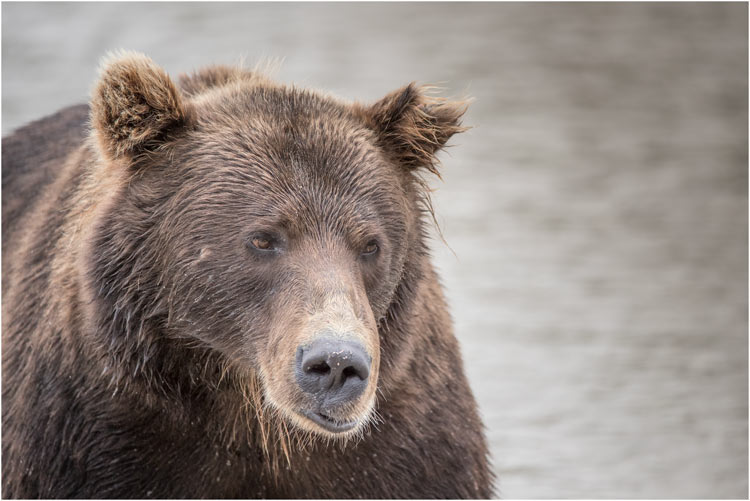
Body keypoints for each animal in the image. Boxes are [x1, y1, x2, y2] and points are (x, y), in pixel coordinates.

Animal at [2, 52, 494, 498]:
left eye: (370, 244)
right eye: (263, 238)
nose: (336, 363)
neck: (254, 420)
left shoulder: (407, 446)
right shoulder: (87, 433)